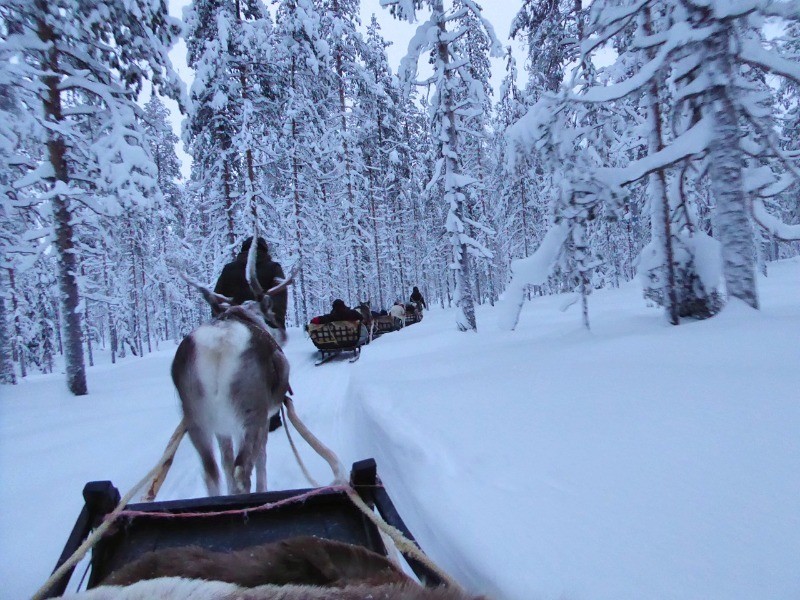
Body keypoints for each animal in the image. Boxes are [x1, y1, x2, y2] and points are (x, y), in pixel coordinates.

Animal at [171, 243, 294, 496]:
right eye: (271, 315)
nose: (283, 334)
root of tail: (218, 348)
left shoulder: (223, 427)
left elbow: (226, 461)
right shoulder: (262, 419)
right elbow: (261, 458)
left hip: (195, 418)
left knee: (211, 471)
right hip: (251, 413)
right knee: (243, 470)